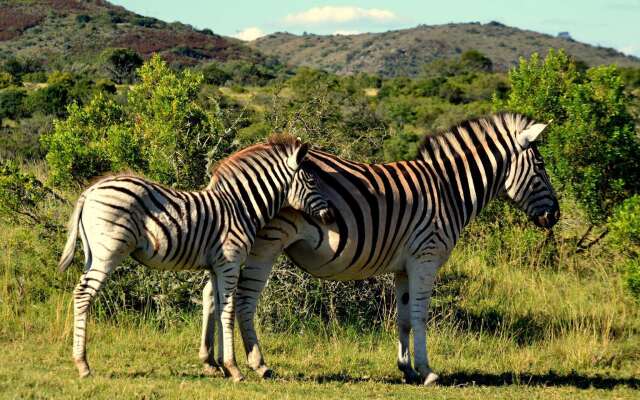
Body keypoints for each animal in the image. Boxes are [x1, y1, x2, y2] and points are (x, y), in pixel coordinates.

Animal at [57, 135, 332, 382]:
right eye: (311, 181)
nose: (330, 216)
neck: (240, 208)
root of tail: (90, 191)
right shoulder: (230, 263)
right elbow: (228, 311)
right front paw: (234, 369)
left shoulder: (216, 266)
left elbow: (218, 307)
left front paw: (222, 365)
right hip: (108, 251)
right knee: (83, 294)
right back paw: (82, 365)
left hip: (92, 253)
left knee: (81, 291)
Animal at [201, 111, 560, 384]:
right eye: (542, 167)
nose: (556, 215)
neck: (449, 190)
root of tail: (229, 166)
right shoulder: (426, 257)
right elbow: (420, 315)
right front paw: (428, 372)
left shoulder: (404, 266)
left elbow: (403, 317)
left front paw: (407, 369)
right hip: (267, 242)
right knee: (243, 299)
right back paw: (258, 364)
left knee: (212, 292)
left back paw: (211, 361)